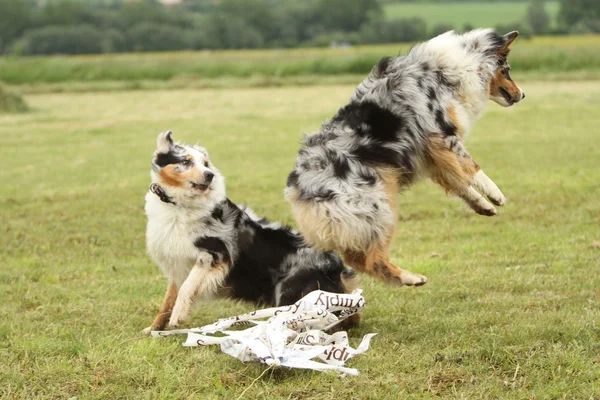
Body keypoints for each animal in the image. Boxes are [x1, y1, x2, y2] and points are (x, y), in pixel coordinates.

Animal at [142, 132, 356, 334]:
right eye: (186, 162)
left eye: (205, 164)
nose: (210, 175)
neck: (178, 205)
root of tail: (337, 264)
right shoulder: (178, 263)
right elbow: (168, 300)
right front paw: (153, 328)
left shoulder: (214, 254)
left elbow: (187, 287)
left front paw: (179, 314)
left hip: (290, 292)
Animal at [286, 30, 524, 288]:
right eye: (506, 70)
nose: (522, 94)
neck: (446, 71)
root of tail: (299, 185)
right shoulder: (441, 135)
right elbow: (471, 166)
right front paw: (496, 194)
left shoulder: (430, 157)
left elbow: (458, 183)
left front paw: (483, 205)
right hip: (379, 209)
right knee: (371, 259)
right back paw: (410, 278)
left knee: (356, 258)